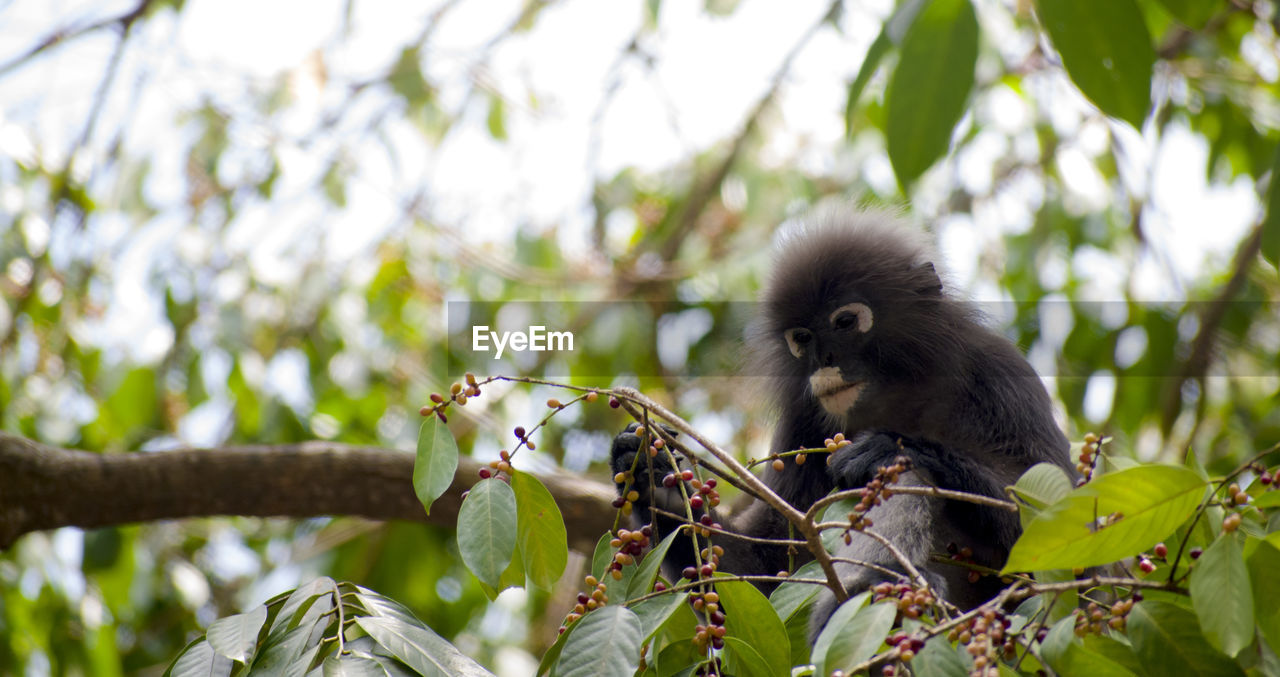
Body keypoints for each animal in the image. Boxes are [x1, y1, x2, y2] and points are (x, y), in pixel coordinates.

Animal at [609, 209, 1070, 639]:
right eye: (802, 338)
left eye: (845, 322)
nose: (824, 360)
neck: (894, 387)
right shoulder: (802, 415)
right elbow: (769, 570)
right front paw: (653, 474)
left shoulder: (998, 369)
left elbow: (1054, 523)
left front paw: (896, 446)